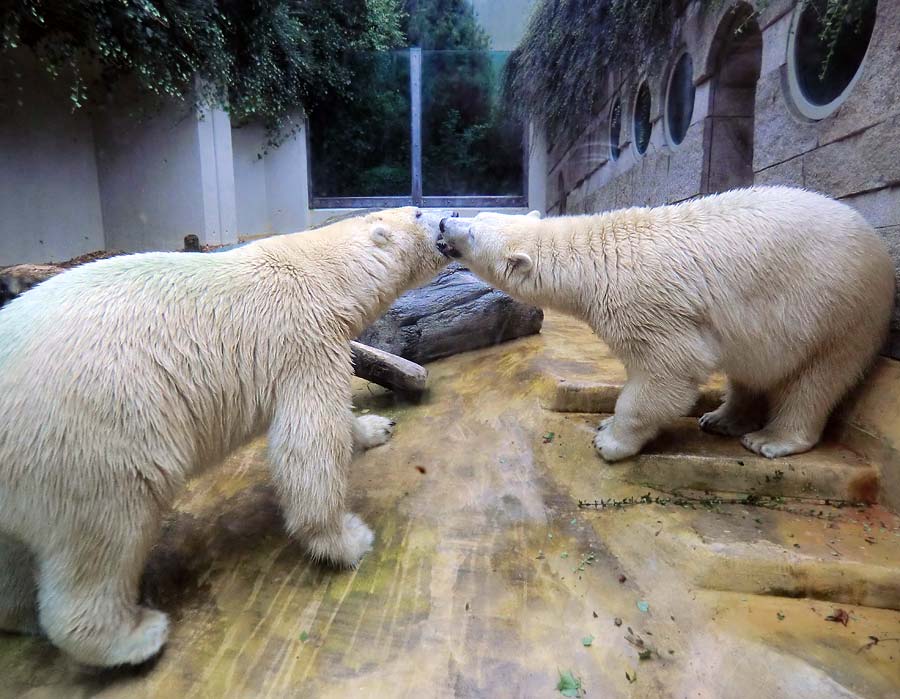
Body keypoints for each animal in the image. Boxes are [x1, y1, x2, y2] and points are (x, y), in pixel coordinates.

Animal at [0, 208, 450, 668]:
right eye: (418, 212)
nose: (448, 219)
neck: (319, 271)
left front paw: (376, 427)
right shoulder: (304, 343)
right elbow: (307, 442)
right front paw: (347, 539)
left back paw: (22, 615)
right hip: (87, 438)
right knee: (106, 536)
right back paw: (135, 635)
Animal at [436, 187, 892, 464]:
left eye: (472, 233)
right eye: (475, 216)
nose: (443, 222)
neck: (596, 258)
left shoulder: (649, 307)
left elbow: (667, 371)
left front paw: (610, 439)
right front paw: (608, 427)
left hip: (839, 309)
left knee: (817, 377)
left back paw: (771, 439)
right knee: (750, 369)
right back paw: (722, 419)